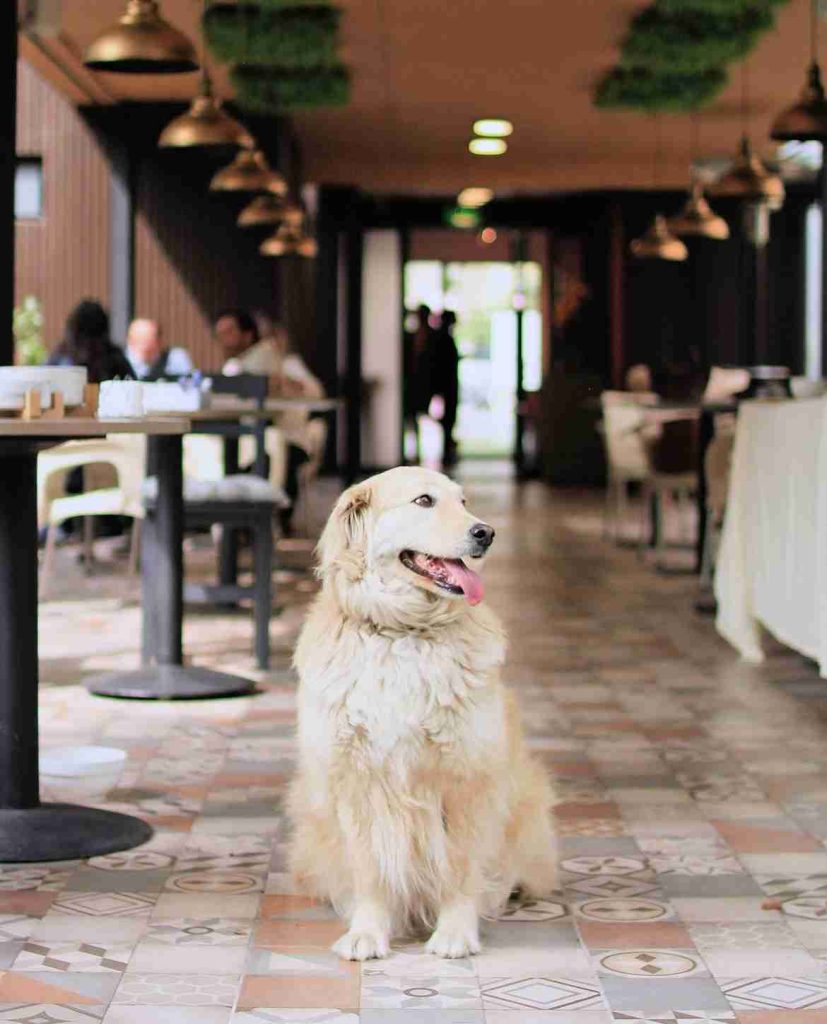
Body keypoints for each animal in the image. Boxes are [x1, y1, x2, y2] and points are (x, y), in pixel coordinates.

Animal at [286, 468, 560, 962]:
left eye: (464, 501)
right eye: (424, 501)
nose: (487, 533)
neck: (404, 633)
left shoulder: (466, 778)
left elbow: (460, 866)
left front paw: (455, 932)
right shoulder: (356, 779)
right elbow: (369, 869)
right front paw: (368, 931)